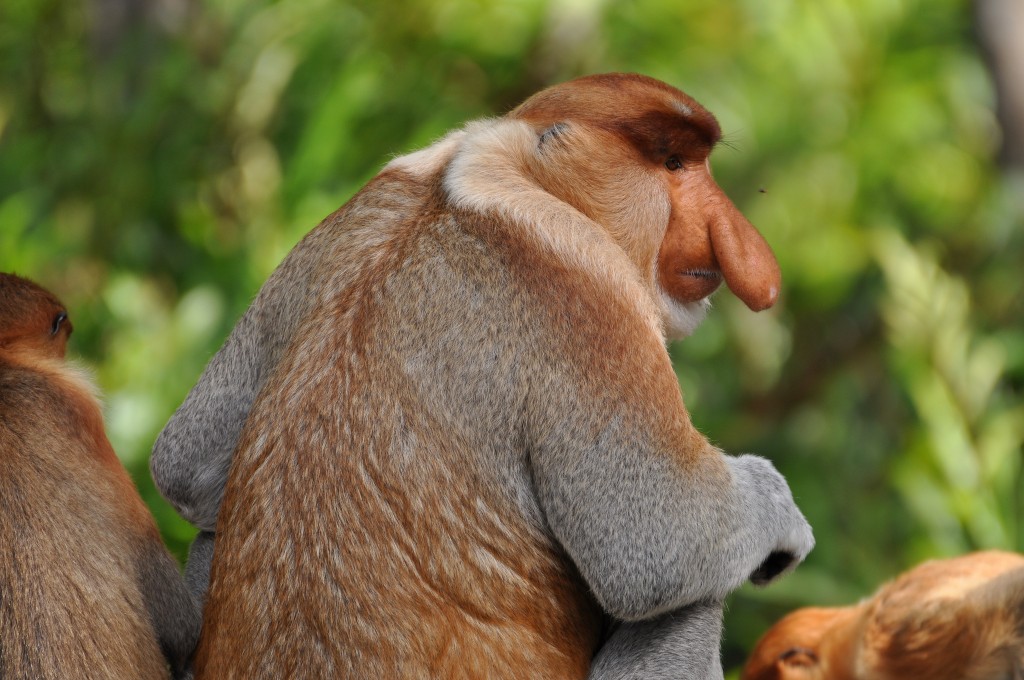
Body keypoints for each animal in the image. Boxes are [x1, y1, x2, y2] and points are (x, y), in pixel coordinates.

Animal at [151, 71, 811, 675]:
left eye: (695, 162)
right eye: (673, 163)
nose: (737, 243)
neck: (491, 170)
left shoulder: (363, 205)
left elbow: (183, 468)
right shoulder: (583, 281)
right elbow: (658, 545)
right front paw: (781, 515)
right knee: (690, 594)